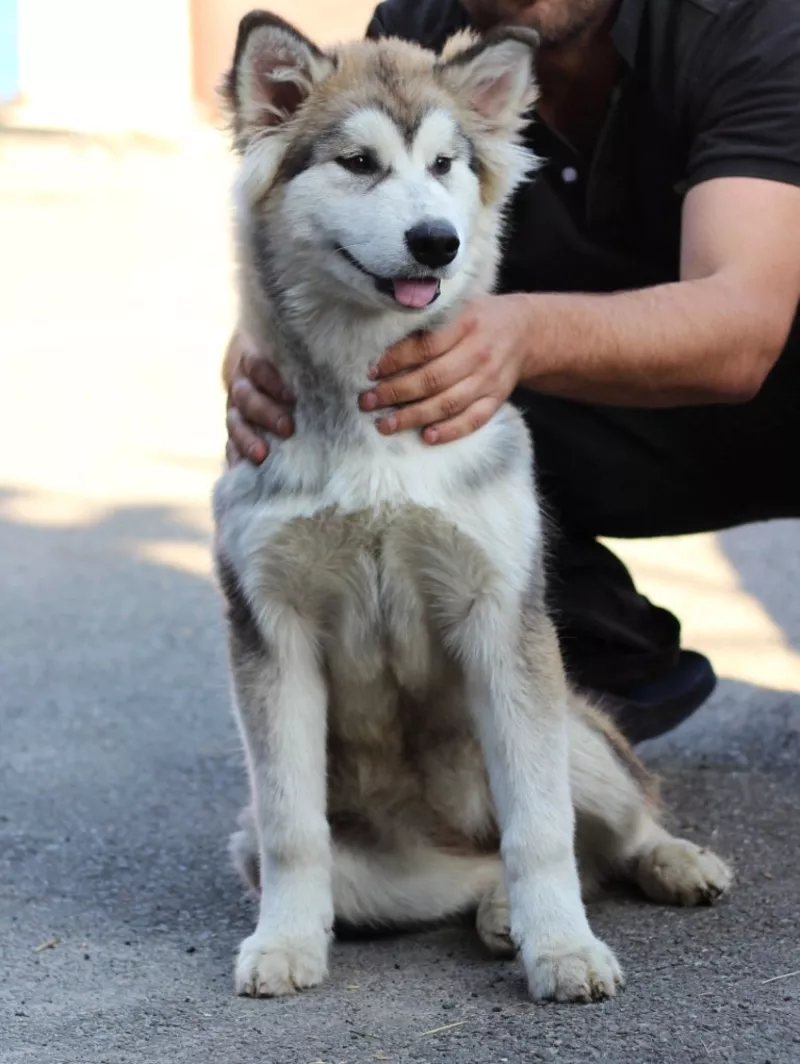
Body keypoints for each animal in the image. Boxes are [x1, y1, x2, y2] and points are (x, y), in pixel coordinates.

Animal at [210, 10, 731, 1004]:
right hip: (306, 850)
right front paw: (285, 943)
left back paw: (667, 864)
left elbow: (543, 829)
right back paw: (493, 913)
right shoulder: (270, 630)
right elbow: (296, 828)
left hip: (570, 724)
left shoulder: (504, 621)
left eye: (446, 163)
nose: (435, 242)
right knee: (470, 869)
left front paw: (563, 949)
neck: (371, 427)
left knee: (606, 825)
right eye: (358, 163)